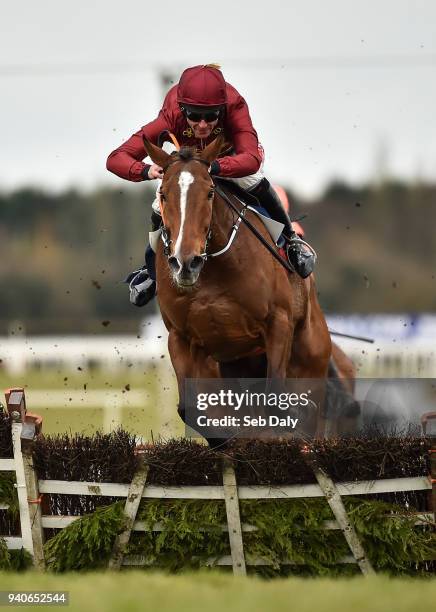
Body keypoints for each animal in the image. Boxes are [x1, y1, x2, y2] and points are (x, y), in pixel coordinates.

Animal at [143, 137, 330, 444]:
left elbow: (276, 401)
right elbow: (190, 408)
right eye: (163, 195)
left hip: (310, 356)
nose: (186, 263)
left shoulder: (278, 322)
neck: (213, 269)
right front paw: (226, 437)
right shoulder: (180, 338)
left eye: (209, 192)